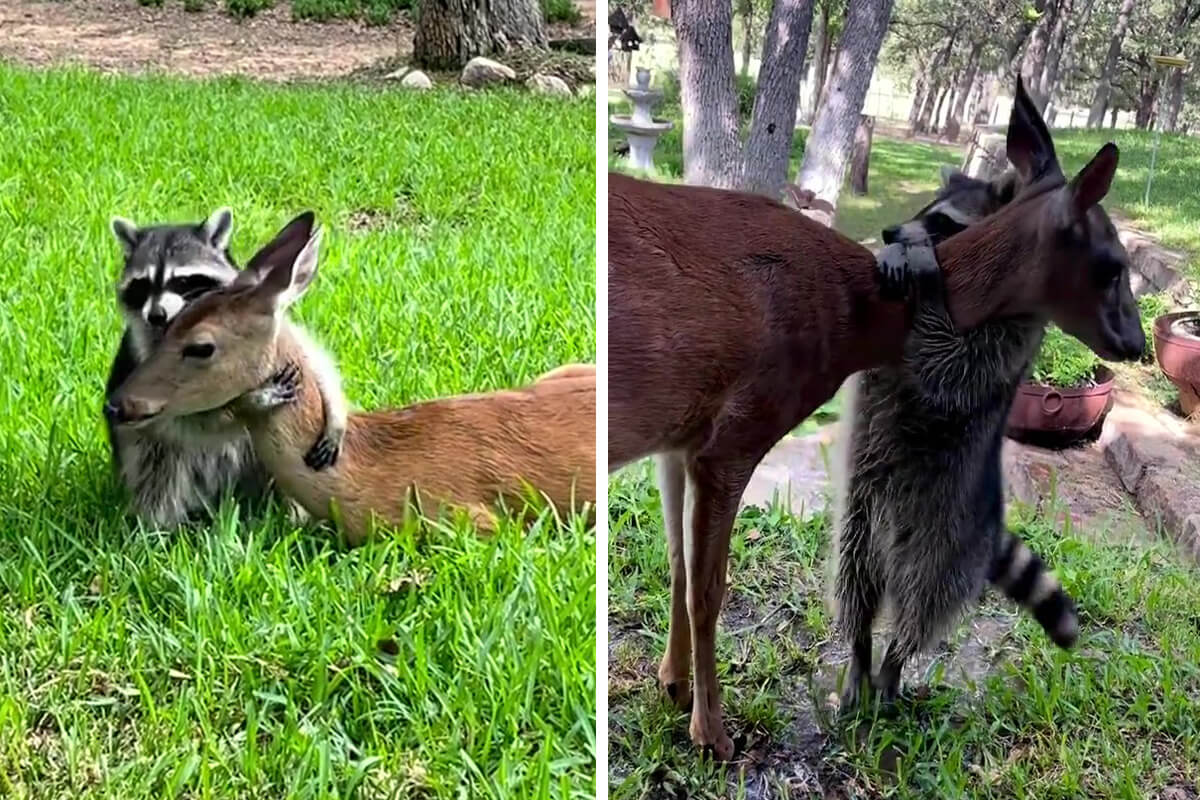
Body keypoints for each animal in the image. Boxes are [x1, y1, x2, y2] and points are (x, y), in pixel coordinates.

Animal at [608, 76, 1145, 760]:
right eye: (1113, 266)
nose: (1136, 344)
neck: (854, 317)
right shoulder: (735, 432)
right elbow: (707, 587)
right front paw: (712, 734)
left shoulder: (682, 438)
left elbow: (676, 564)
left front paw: (673, 687)